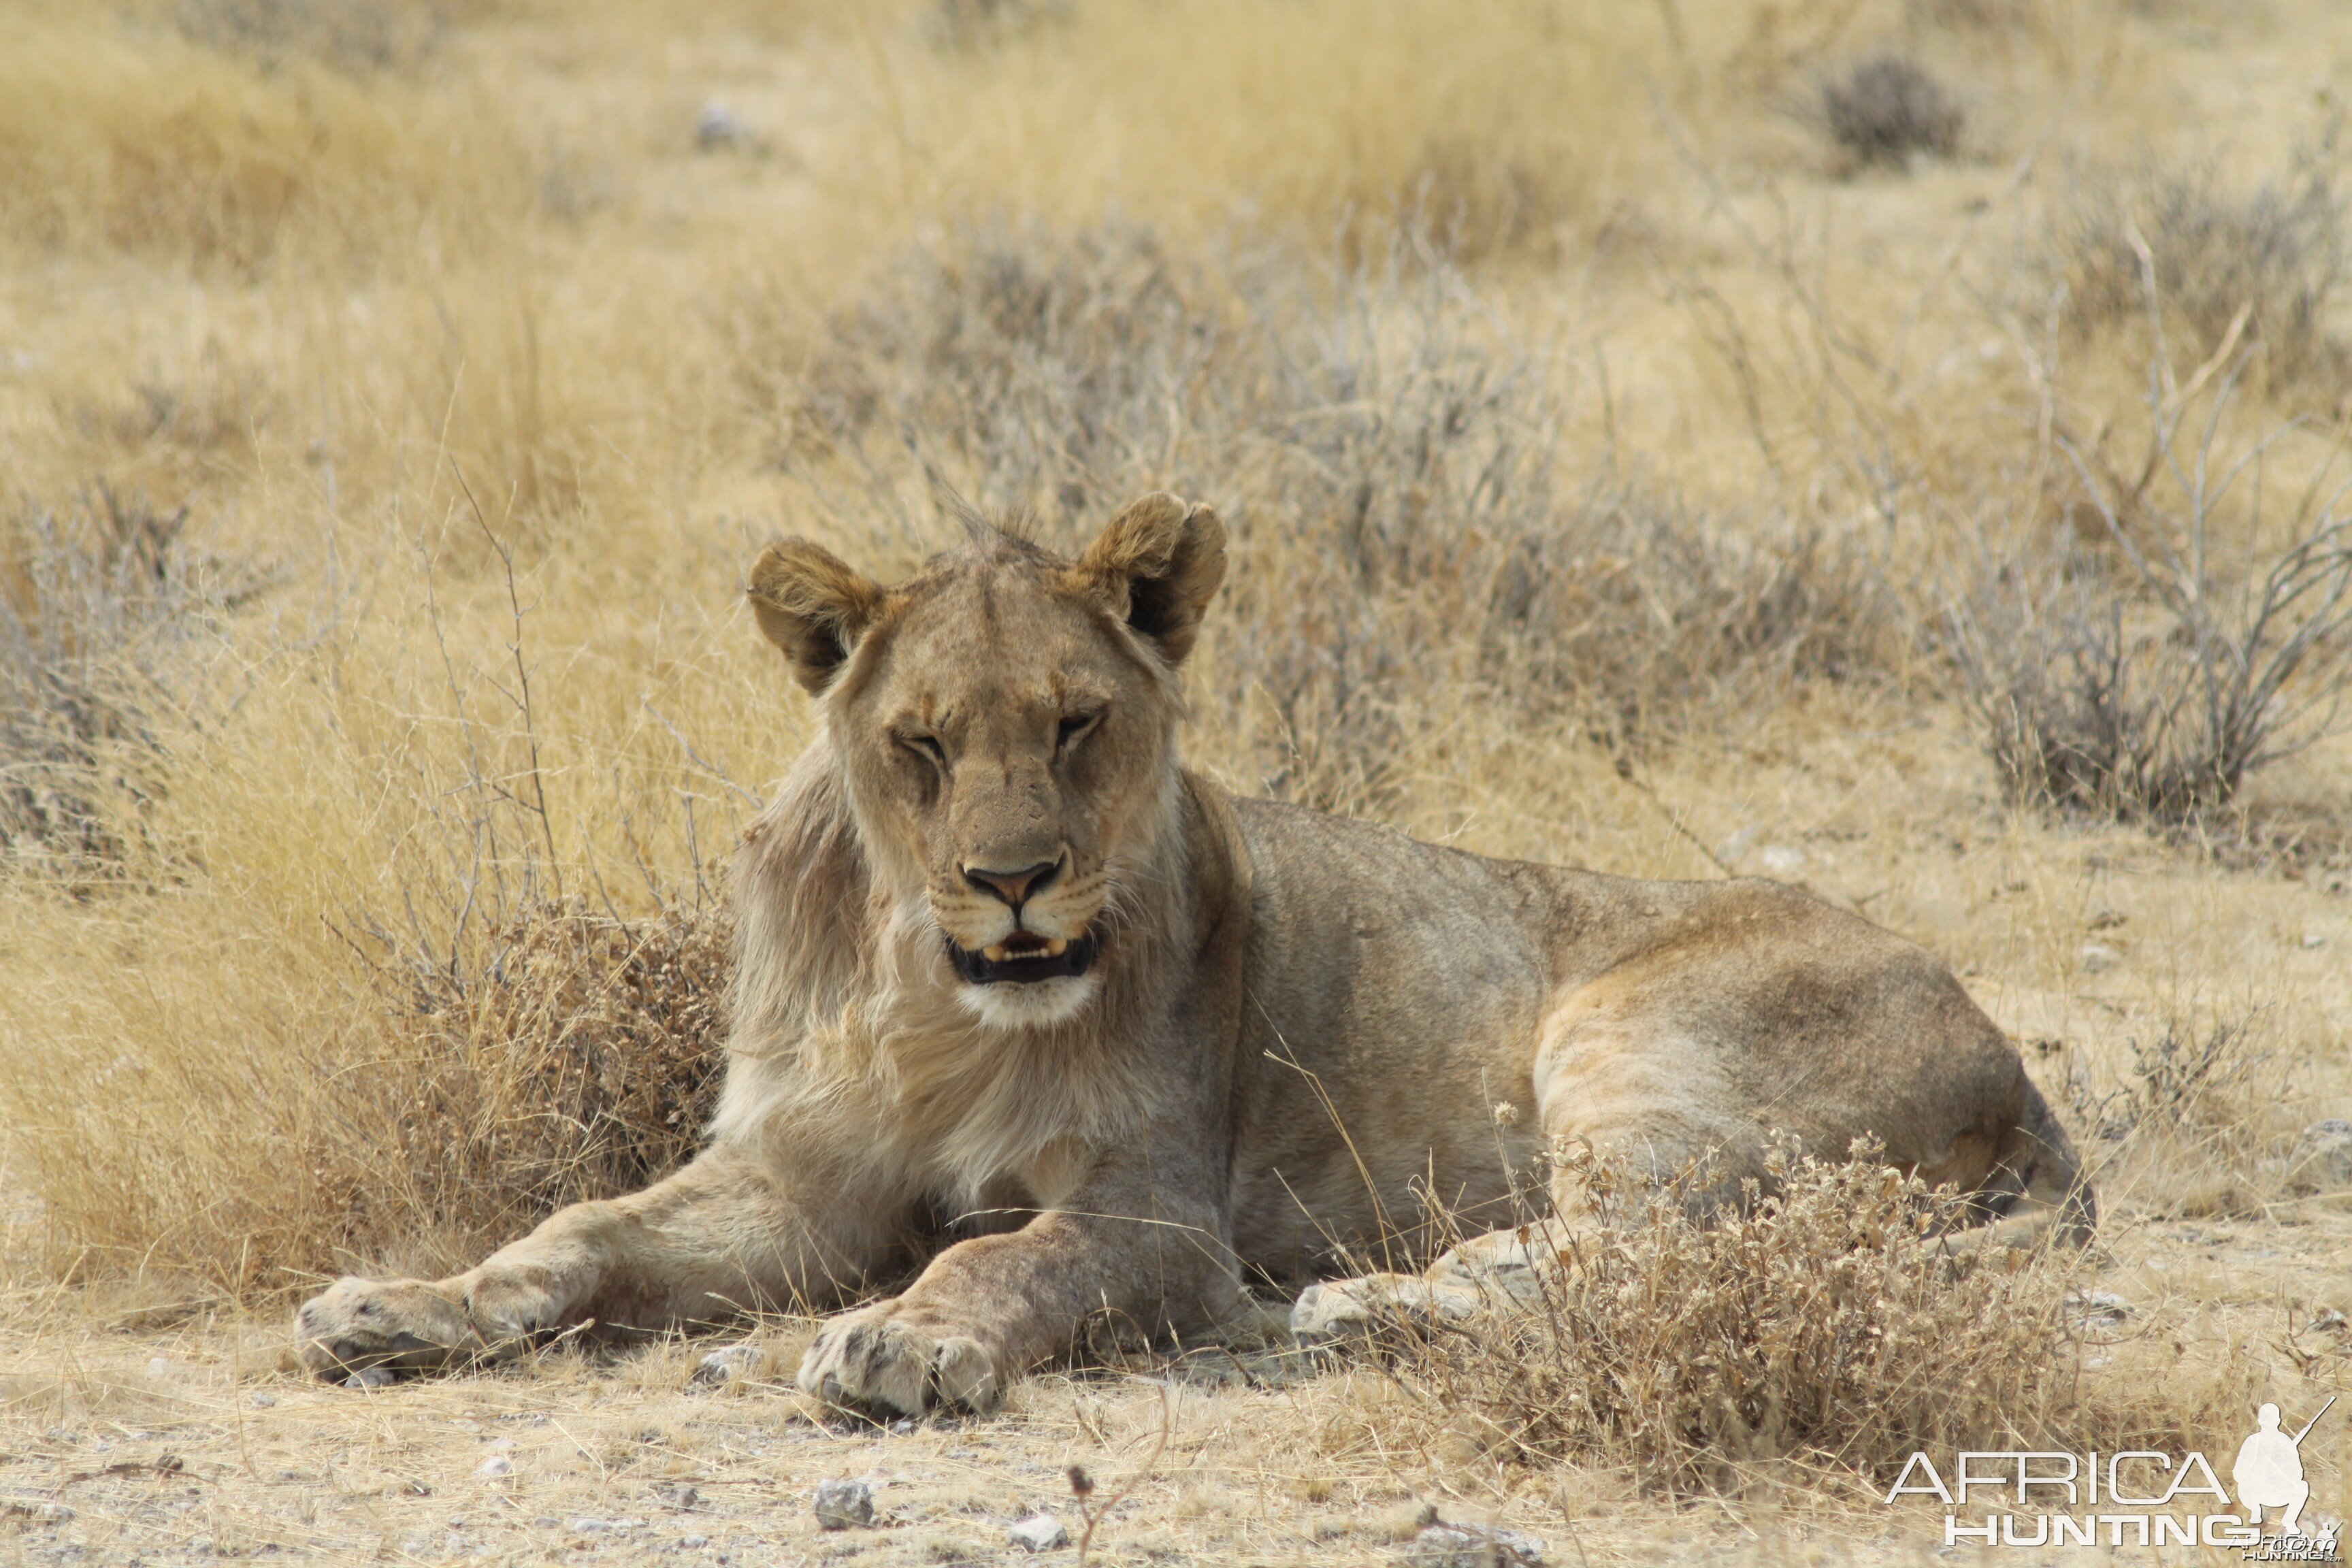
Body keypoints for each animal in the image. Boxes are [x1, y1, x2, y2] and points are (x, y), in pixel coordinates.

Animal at [298, 491, 2097, 1410]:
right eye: (922, 741)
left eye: (1075, 724)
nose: (1015, 881)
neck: (935, 1002)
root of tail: (2017, 1069)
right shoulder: (797, 1178)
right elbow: (579, 1229)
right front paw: (397, 1308)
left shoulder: (1162, 1215)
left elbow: (1005, 1256)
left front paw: (907, 1341)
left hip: (1621, 1031)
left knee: (1684, 1252)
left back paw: (1378, 1306)